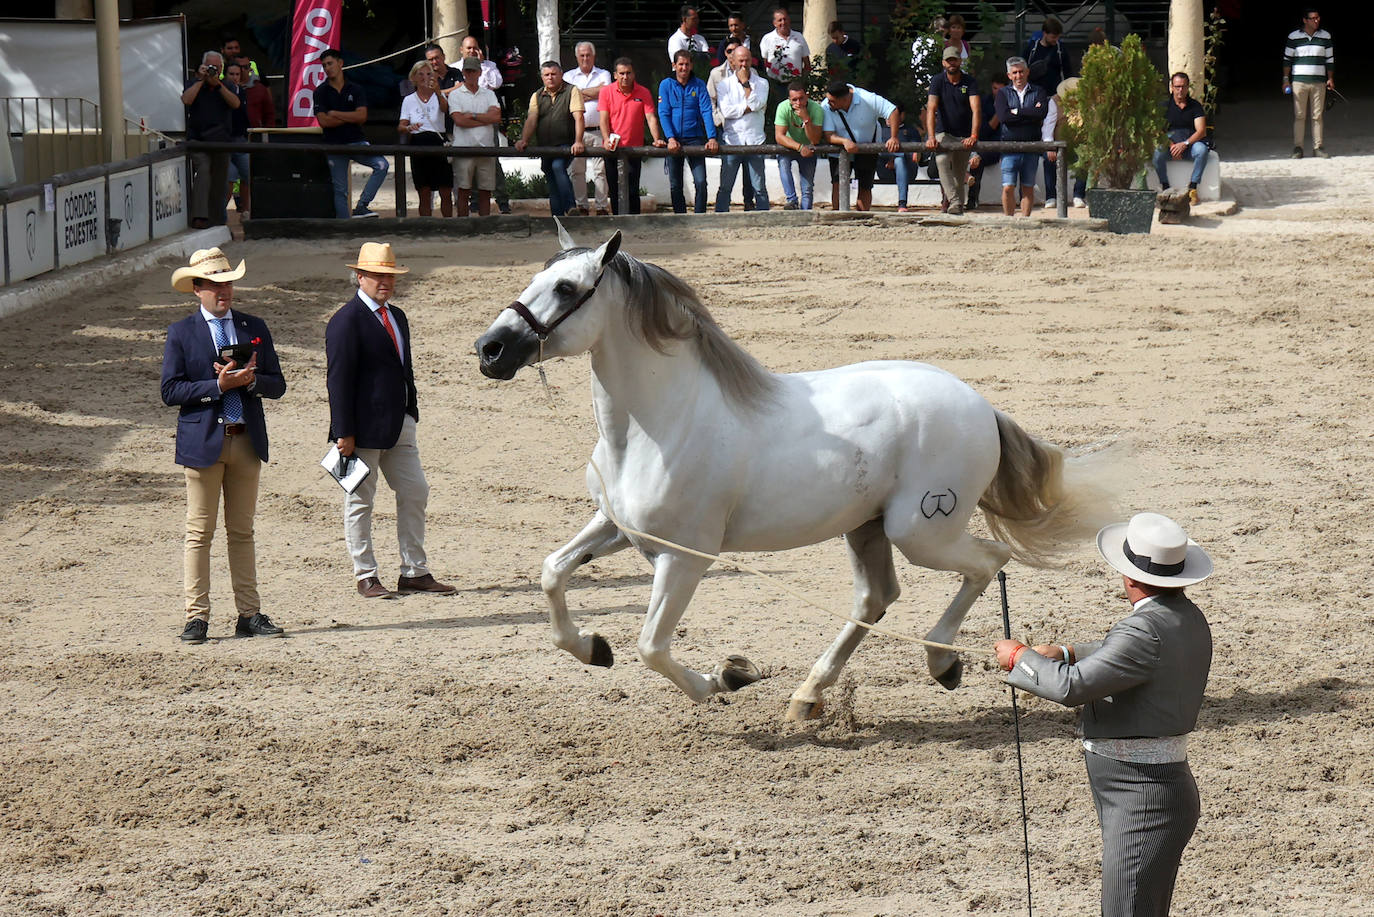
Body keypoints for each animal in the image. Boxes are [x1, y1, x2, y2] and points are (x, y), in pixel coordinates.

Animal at [478, 228, 1110, 714]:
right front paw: (594, 649)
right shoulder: (616, 527)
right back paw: (808, 696)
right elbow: (552, 573)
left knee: (988, 562)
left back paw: (941, 661)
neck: (657, 427)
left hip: (920, 531)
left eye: (565, 288)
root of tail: (982, 406)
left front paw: (724, 677)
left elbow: (651, 646)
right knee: (875, 599)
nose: (490, 349)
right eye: (536, 276)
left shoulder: (685, 558)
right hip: (866, 528)